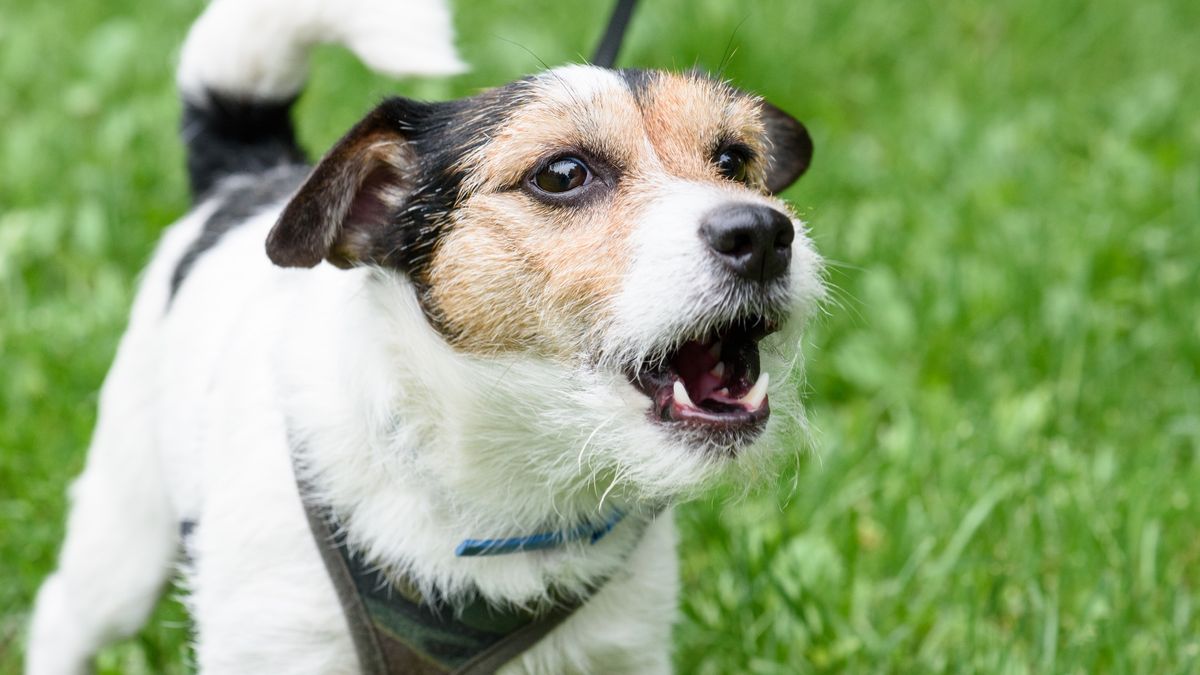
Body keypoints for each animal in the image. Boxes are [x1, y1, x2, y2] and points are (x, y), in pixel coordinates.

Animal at [25, 0, 825, 667]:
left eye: (734, 160)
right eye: (562, 173)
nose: (762, 234)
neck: (503, 490)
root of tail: (246, 177)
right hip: (123, 538)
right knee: (62, 611)